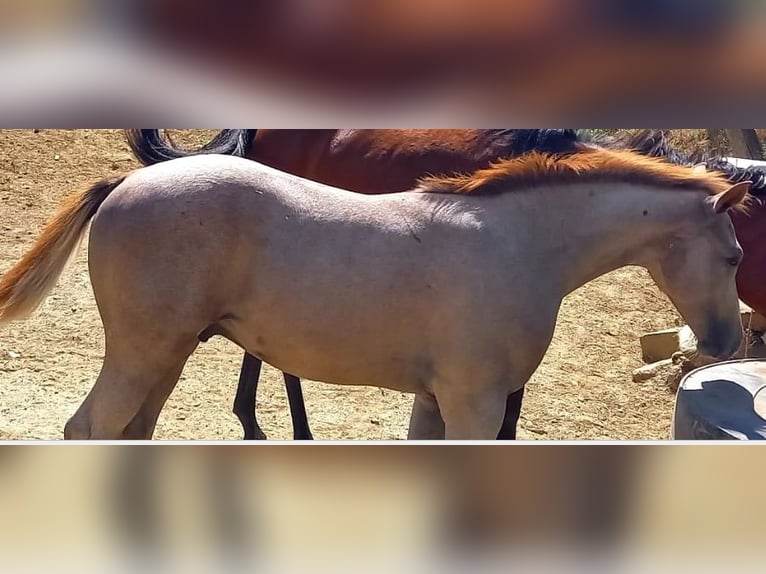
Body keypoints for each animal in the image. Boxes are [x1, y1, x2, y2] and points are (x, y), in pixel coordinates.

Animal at [0, 148, 752, 440]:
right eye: (735, 255)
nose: (725, 344)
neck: (519, 242)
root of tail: (125, 181)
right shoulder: (476, 402)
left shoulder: (437, 398)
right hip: (142, 352)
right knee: (89, 428)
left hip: (168, 354)